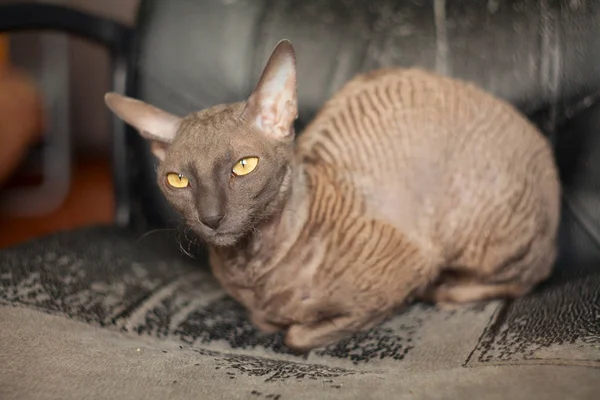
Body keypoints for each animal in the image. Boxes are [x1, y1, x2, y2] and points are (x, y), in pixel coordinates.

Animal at [103, 37, 556, 350]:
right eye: (178, 180)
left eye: (244, 166)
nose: (210, 216)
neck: (252, 269)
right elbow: (272, 324)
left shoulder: (408, 271)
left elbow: (298, 335)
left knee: (527, 276)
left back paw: (448, 288)